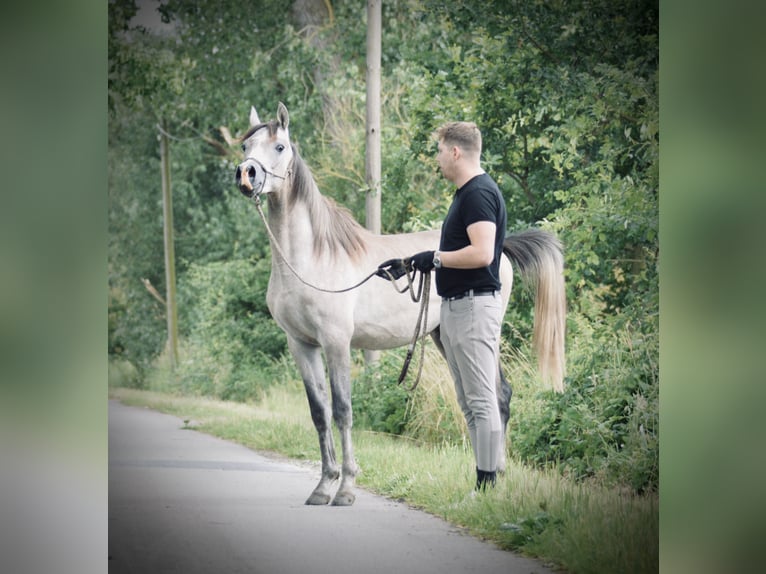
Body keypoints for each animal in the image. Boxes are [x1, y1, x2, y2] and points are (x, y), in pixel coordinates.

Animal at [234, 104, 564, 508]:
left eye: (279, 146)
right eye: (246, 144)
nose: (246, 174)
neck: (308, 259)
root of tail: (502, 248)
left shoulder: (336, 342)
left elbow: (343, 410)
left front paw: (346, 488)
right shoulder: (301, 344)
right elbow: (320, 413)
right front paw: (324, 485)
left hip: (486, 338)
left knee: (498, 395)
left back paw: (495, 476)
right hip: (442, 337)